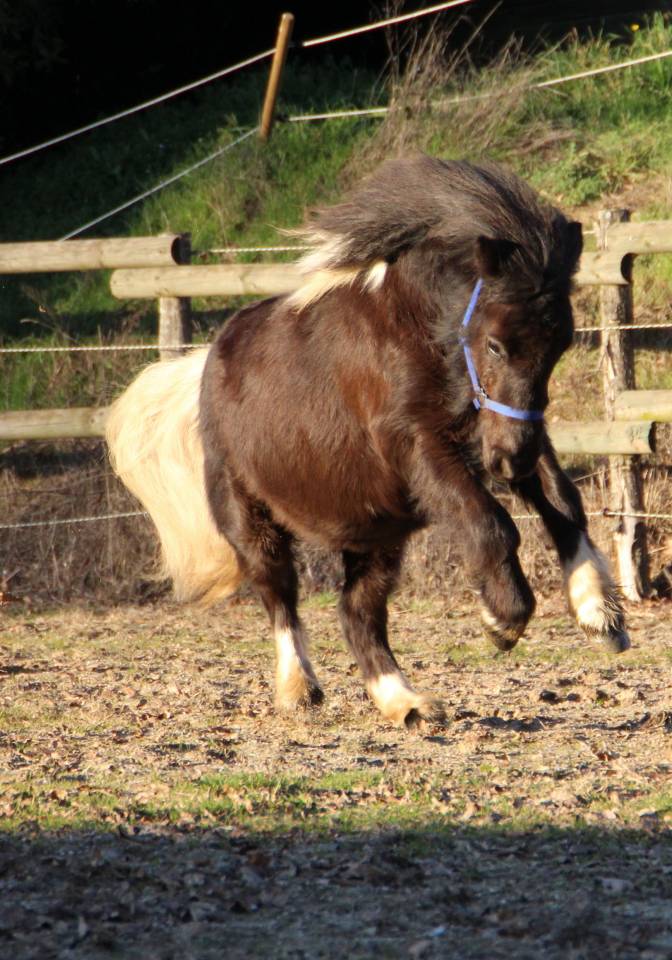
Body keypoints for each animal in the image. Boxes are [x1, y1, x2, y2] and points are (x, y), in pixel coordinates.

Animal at [107, 154, 630, 728]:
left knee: (357, 612)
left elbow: (563, 500)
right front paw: (502, 619)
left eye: (560, 345)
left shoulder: (497, 434)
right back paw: (298, 688)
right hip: (253, 521)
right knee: (280, 597)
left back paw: (405, 702)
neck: (418, 334)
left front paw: (600, 612)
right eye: (495, 344)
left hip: (378, 533)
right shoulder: (420, 447)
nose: (511, 461)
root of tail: (205, 365)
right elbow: (491, 524)